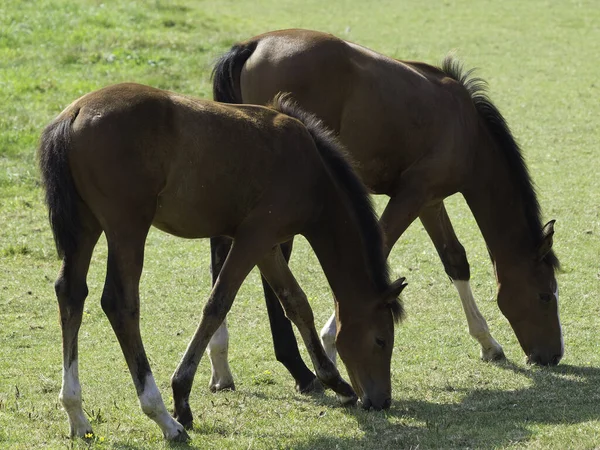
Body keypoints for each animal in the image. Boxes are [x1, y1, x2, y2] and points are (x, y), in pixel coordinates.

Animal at [37, 83, 404, 440]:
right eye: (381, 340)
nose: (382, 401)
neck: (311, 169)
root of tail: (75, 113)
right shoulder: (252, 239)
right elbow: (217, 304)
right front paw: (181, 398)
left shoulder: (267, 246)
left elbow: (296, 303)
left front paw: (334, 381)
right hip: (127, 229)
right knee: (120, 305)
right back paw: (163, 419)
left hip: (85, 228)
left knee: (71, 295)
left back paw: (76, 414)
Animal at [210, 29, 564, 394]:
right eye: (545, 296)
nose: (553, 356)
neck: (465, 126)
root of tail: (252, 45)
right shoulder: (411, 196)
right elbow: (381, 245)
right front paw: (333, 343)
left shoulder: (430, 201)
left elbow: (455, 260)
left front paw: (487, 343)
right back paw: (301, 371)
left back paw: (223, 366)